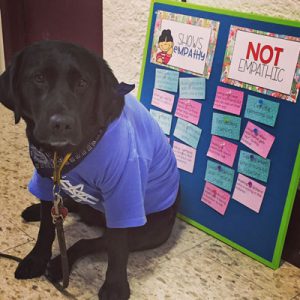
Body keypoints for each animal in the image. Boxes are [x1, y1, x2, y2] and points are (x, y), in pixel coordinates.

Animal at [0, 40, 179, 300]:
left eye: (83, 83)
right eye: (39, 78)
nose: (61, 124)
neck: (67, 153)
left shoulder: (123, 195)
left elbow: (117, 249)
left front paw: (115, 286)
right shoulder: (45, 179)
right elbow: (46, 228)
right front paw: (36, 258)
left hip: (147, 232)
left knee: (91, 242)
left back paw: (58, 264)